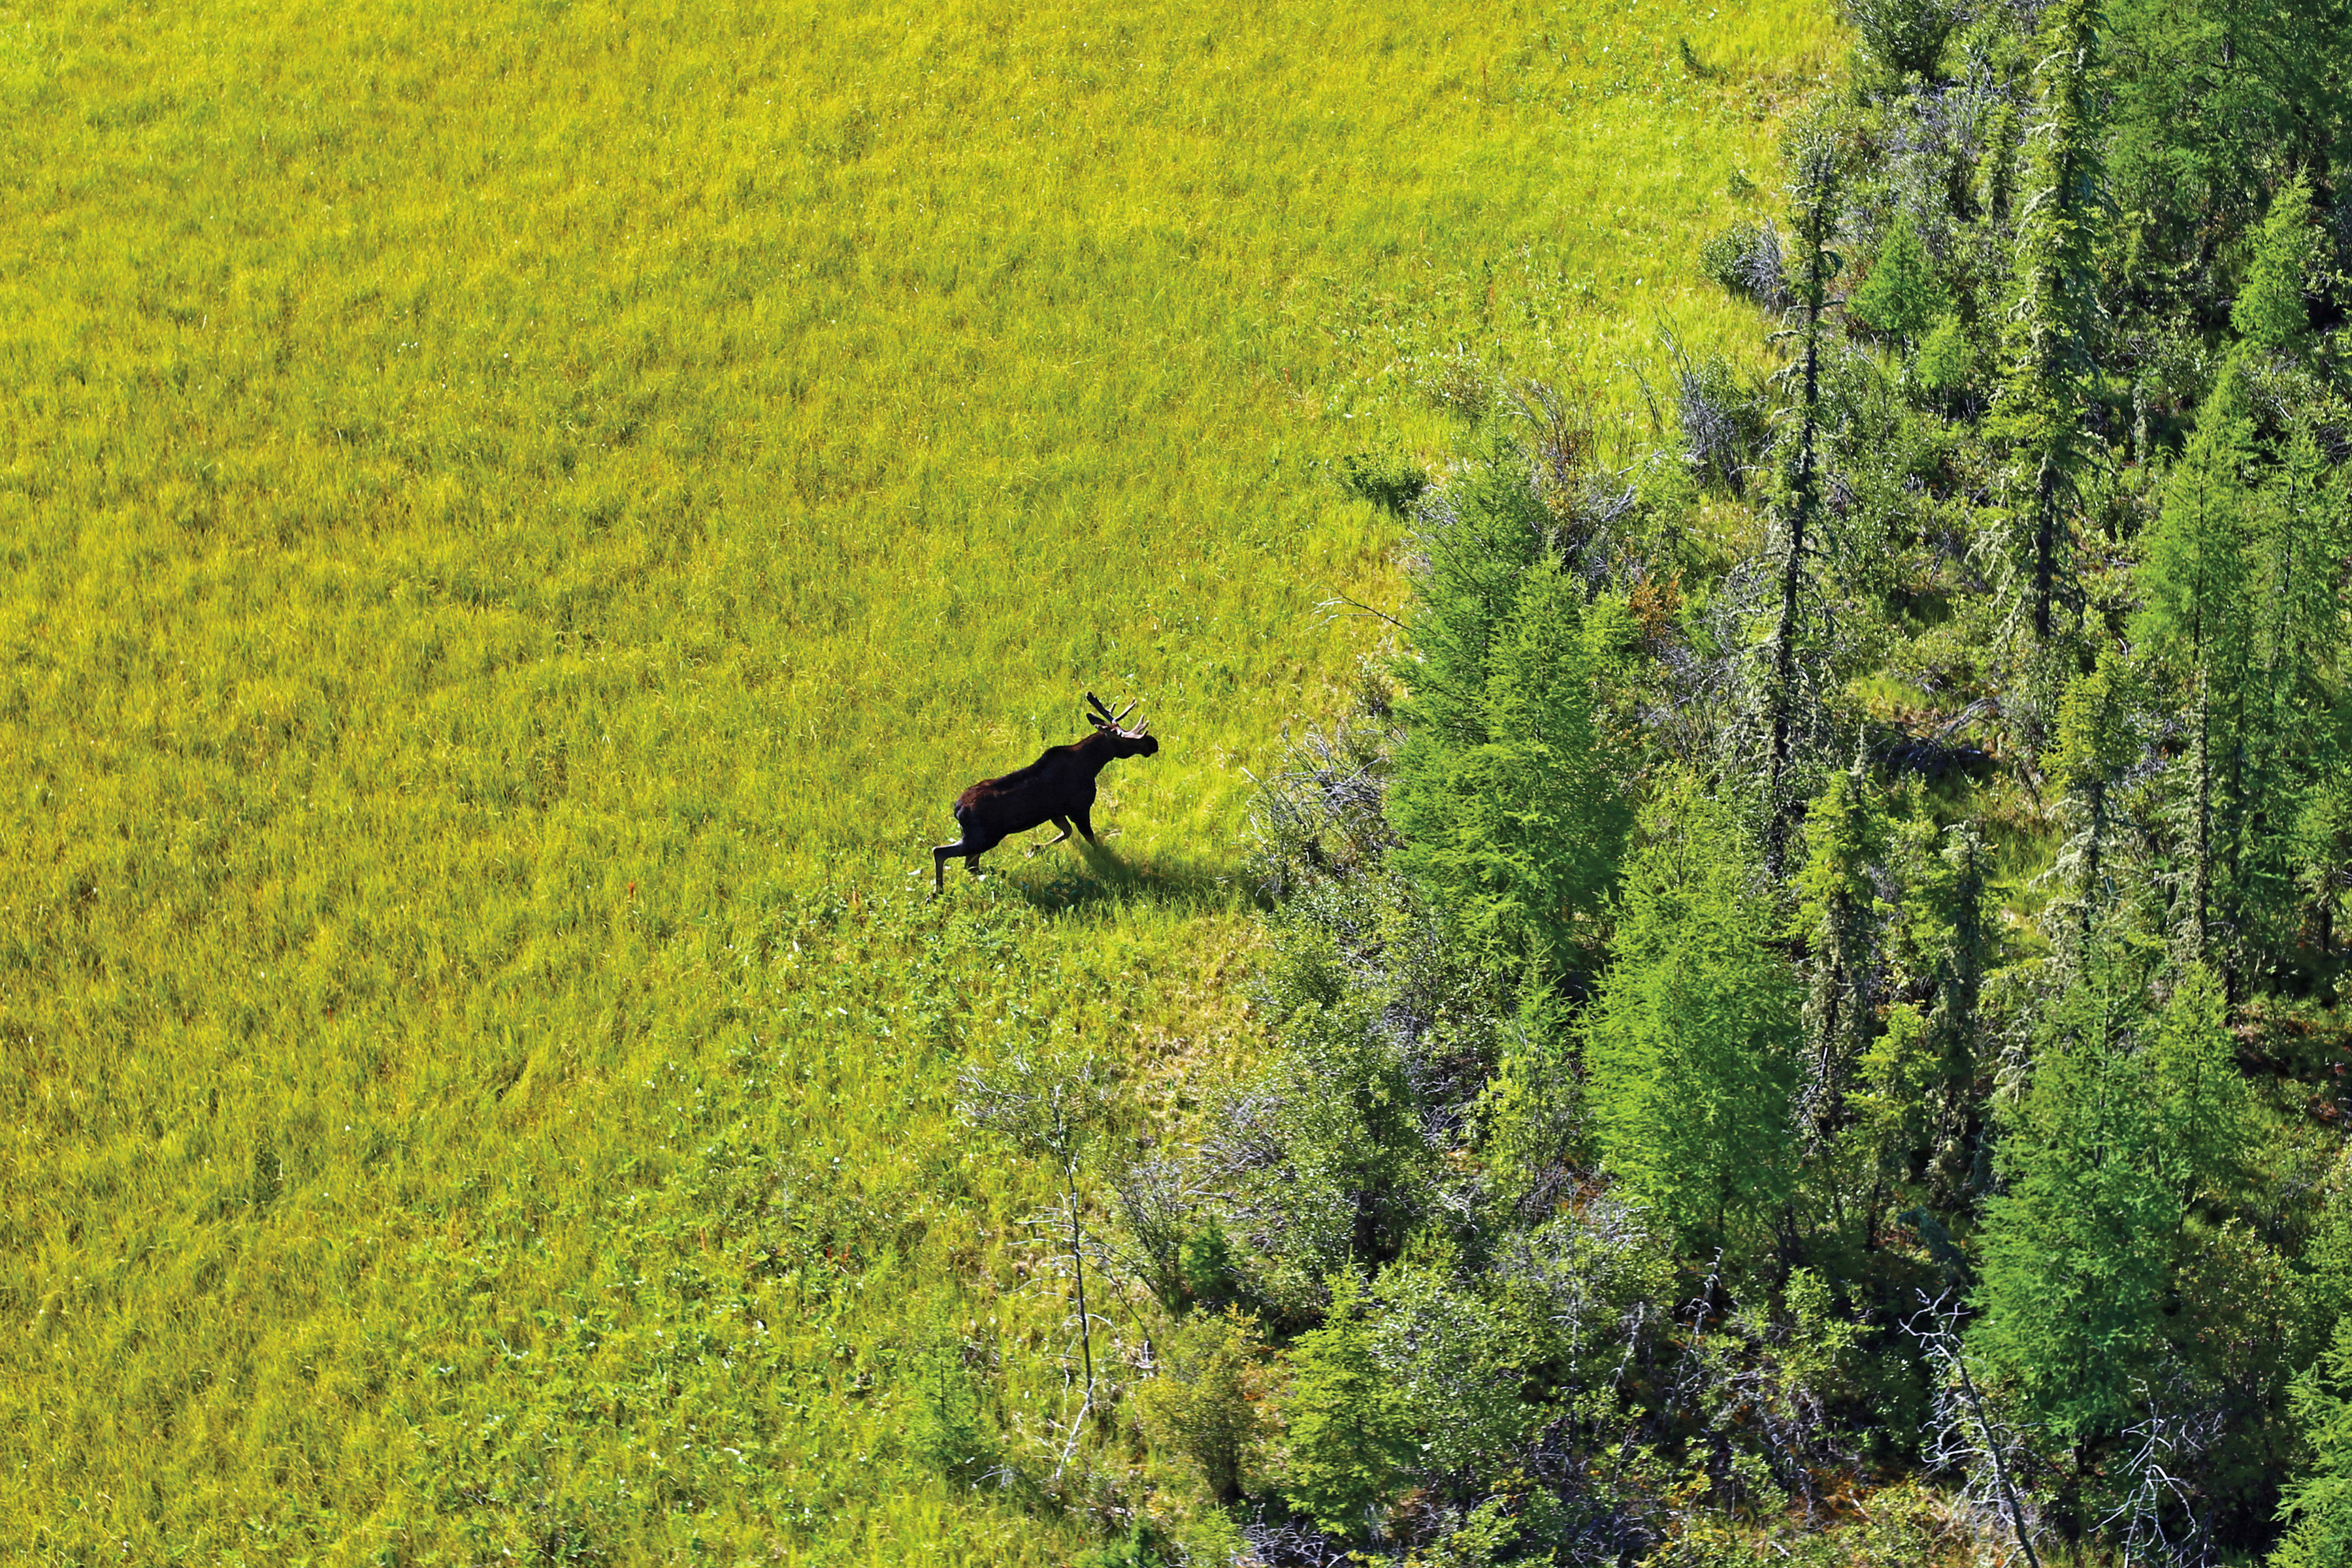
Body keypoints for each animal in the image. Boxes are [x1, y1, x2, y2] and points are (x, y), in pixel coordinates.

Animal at [931, 691, 1162, 889]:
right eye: (1127, 740)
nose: (1154, 744)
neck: (1092, 765)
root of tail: (957, 809)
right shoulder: (1079, 808)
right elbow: (1091, 839)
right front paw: (1108, 861)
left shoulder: (1056, 813)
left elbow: (1067, 833)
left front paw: (1035, 849)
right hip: (983, 837)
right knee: (941, 852)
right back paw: (937, 892)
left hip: (980, 838)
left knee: (970, 864)